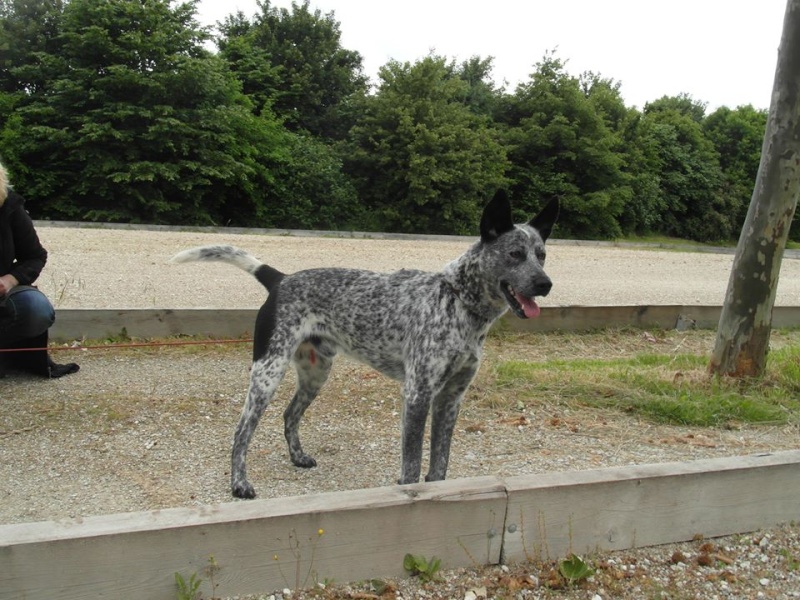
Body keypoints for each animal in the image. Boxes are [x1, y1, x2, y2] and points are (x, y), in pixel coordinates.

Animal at [170, 191, 556, 496]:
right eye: (515, 253)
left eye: (541, 254)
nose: (545, 284)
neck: (458, 301)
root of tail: (280, 279)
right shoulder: (417, 394)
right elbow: (412, 465)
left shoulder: (451, 398)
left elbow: (439, 464)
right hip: (267, 373)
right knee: (241, 432)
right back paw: (239, 484)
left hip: (315, 373)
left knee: (289, 414)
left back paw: (297, 456)